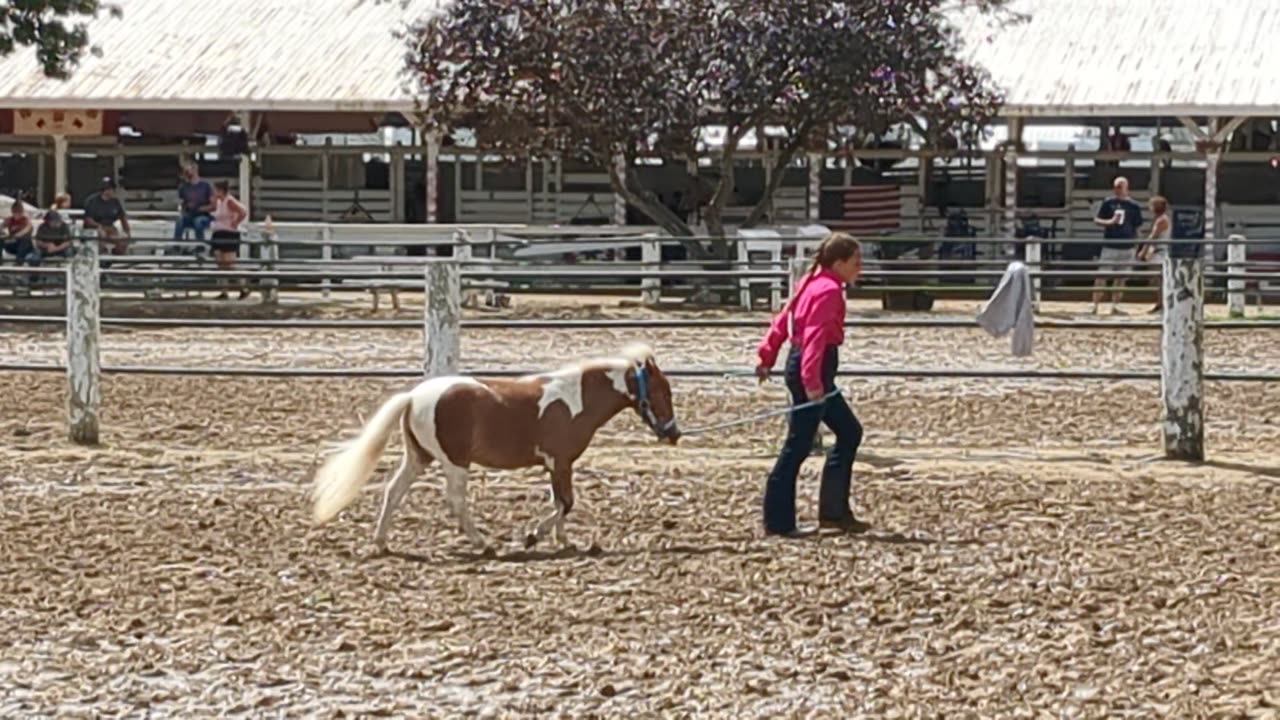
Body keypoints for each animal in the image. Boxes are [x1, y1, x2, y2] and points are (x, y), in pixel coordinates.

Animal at [309, 340, 680, 548]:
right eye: (663, 392)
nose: (673, 433)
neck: (575, 400)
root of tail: (413, 398)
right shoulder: (560, 462)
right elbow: (566, 503)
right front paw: (533, 536)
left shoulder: (556, 466)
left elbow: (561, 502)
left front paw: (562, 540)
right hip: (455, 462)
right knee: (455, 500)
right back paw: (481, 542)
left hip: (419, 458)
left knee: (393, 491)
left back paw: (381, 542)